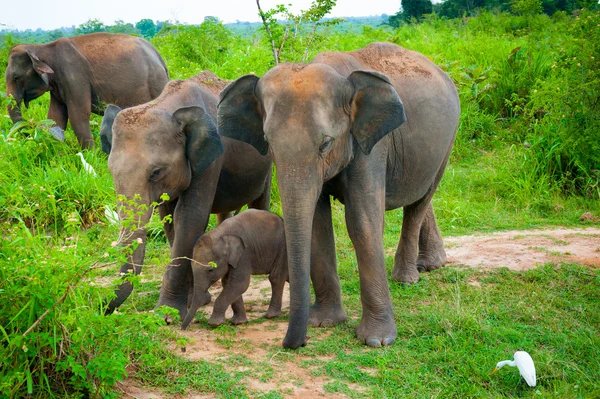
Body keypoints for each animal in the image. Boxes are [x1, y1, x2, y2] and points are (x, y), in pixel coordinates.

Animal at [4, 32, 169, 148]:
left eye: (16, 77)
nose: (31, 127)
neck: (42, 47)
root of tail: (159, 57)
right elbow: (55, 118)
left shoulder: (74, 76)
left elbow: (78, 115)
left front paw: (91, 155)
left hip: (156, 84)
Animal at [103, 71, 272, 316]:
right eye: (111, 171)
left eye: (155, 172)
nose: (102, 308)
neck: (165, 105)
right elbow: (170, 220)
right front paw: (195, 301)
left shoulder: (210, 157)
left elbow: (189, 217)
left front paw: (167, 313)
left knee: (259, 203)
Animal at [220, 43, 460, 350]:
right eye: (267, 142)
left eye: (325, 144)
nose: (294, 343)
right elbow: (317, 223)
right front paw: (323, 322)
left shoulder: (371, 145)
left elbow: (362, 222)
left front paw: (378, 341)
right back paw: (431, 264)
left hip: (447, 140)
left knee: (420, 200)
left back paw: (407, 279)